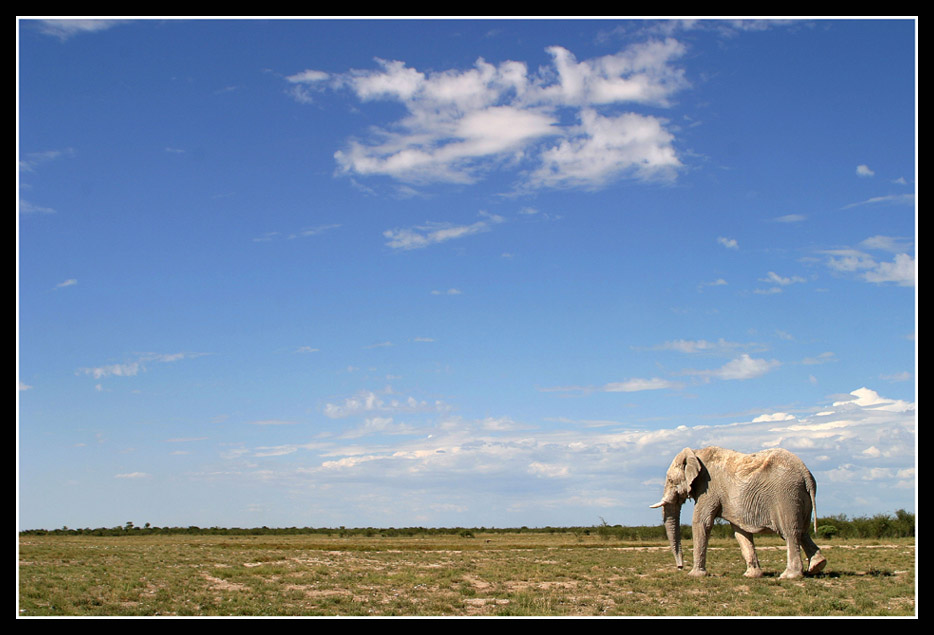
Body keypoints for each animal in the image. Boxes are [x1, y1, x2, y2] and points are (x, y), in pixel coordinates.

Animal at [652, 448, 828, 580]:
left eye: (670, 481)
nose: (680, 567)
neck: (695, 453)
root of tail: (806, 473)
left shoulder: (708, 488)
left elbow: (701, 522)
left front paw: (695, 575)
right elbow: (740, 531)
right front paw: (751, 575)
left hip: (786, 495)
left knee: (790, 532)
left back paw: (789, 576)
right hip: (800, 497)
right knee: (802, 531)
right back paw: (817, 566)